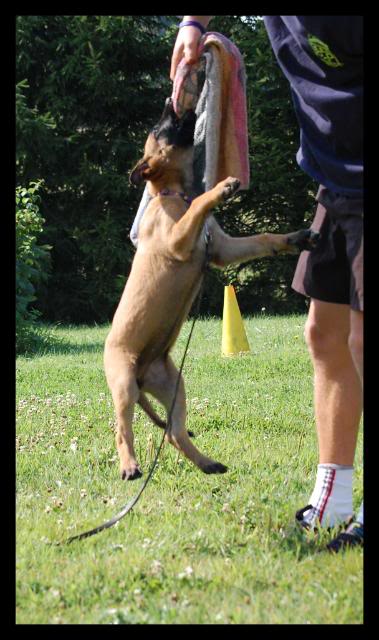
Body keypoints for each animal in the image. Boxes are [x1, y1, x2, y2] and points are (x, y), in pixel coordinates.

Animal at [103, 100, 318, 480]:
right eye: (159, 129)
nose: (171, 103)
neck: (171, 193)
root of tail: (143, 376)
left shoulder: (221, 249)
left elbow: (262, 239)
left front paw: (293, 239)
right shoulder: (178, 240)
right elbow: (201, 203)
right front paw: (222, 188)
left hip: (173, 385)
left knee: (174, 433)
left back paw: (208, 464)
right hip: (124, 380)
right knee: (122, 427)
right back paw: (130, 465)